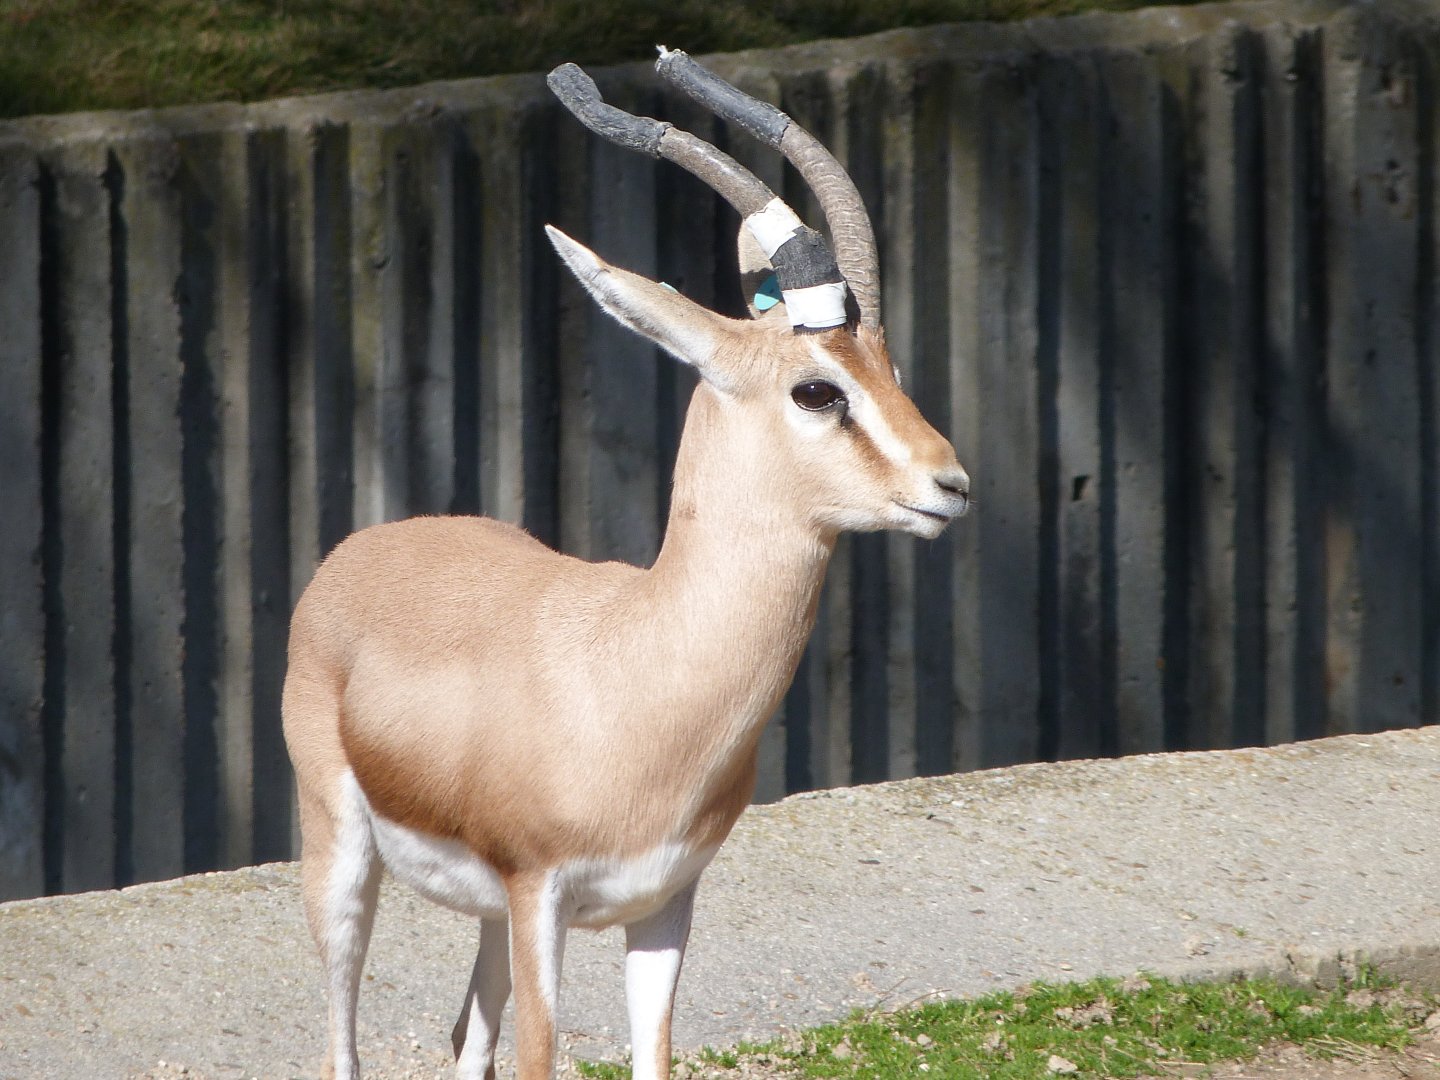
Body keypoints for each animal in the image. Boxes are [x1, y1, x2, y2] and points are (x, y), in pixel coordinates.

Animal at [283, 48, 969, 1080]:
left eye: (889, 367)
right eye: (817, 390)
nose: (950, 483)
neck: (633, 666)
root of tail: (364, 547)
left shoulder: (665, 903)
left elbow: (653, 1056)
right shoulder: (541, 894)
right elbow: (538, 1058)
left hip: (487, 913)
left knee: (466, 1035)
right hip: (343, 857)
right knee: (343, 1034)